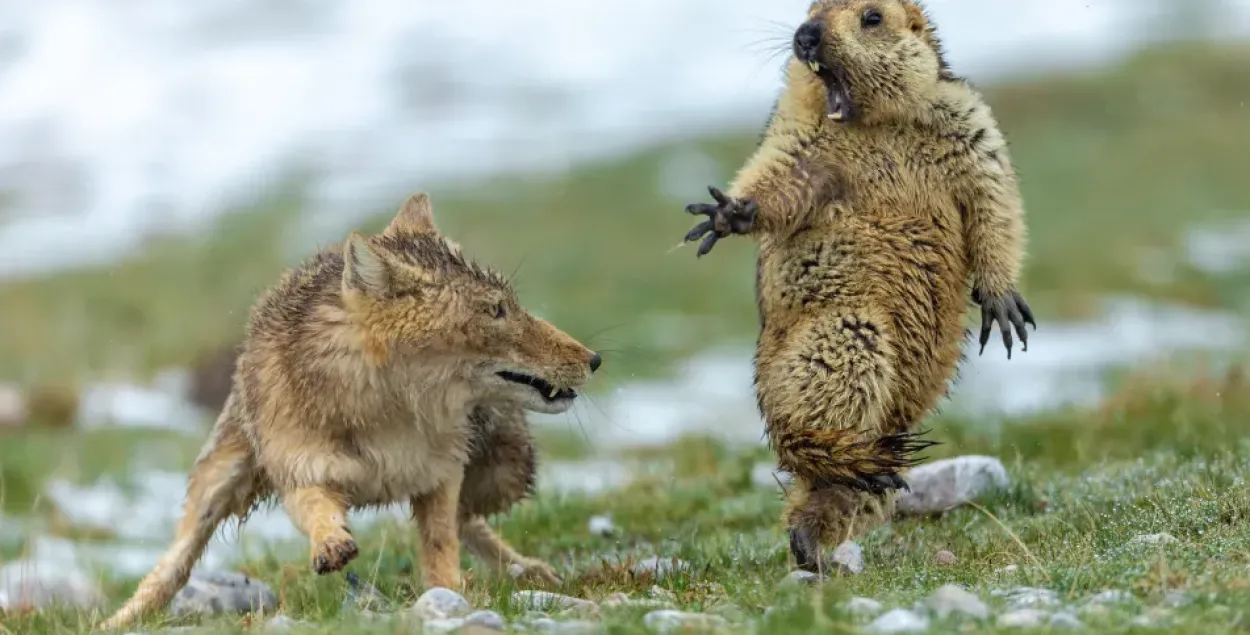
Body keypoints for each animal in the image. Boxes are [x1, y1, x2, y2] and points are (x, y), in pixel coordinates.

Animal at [100, 192, 602, 630]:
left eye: (511, 305)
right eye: (496, 311)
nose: (595, 359)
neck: (388, 416)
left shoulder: (439, 475)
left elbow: (441, 545)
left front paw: (452, 597)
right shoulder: (301, 471)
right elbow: (317, 511)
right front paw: (331, 544)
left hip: (505, 472)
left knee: (471, 520)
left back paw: (528, 570)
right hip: (218, 480)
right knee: (173, 566)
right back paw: (117, 620)